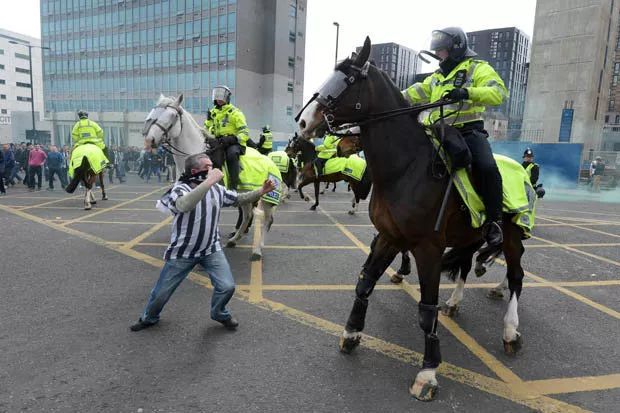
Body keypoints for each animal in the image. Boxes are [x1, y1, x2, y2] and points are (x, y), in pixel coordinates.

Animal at [143, 94, 278, 260]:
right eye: (154, 111)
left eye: (173, 115)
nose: (149, 140)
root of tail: (268, 158)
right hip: (245, 194)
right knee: (247, 216)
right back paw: (234, 240)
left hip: (267, 199)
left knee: (266, 220)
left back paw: (258, 249)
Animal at [298, 37, 524, 400]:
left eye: (349, 79)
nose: (304, 122)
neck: (406, 169)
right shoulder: (390, 237)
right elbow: (364, 284)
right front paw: (351, 333)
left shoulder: (428, 248)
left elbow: (426, 309)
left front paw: (428, 371)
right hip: (469, 235)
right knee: (465, 265)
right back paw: (456, 301)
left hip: (513, 236)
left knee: (516, 277)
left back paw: (510, 331)